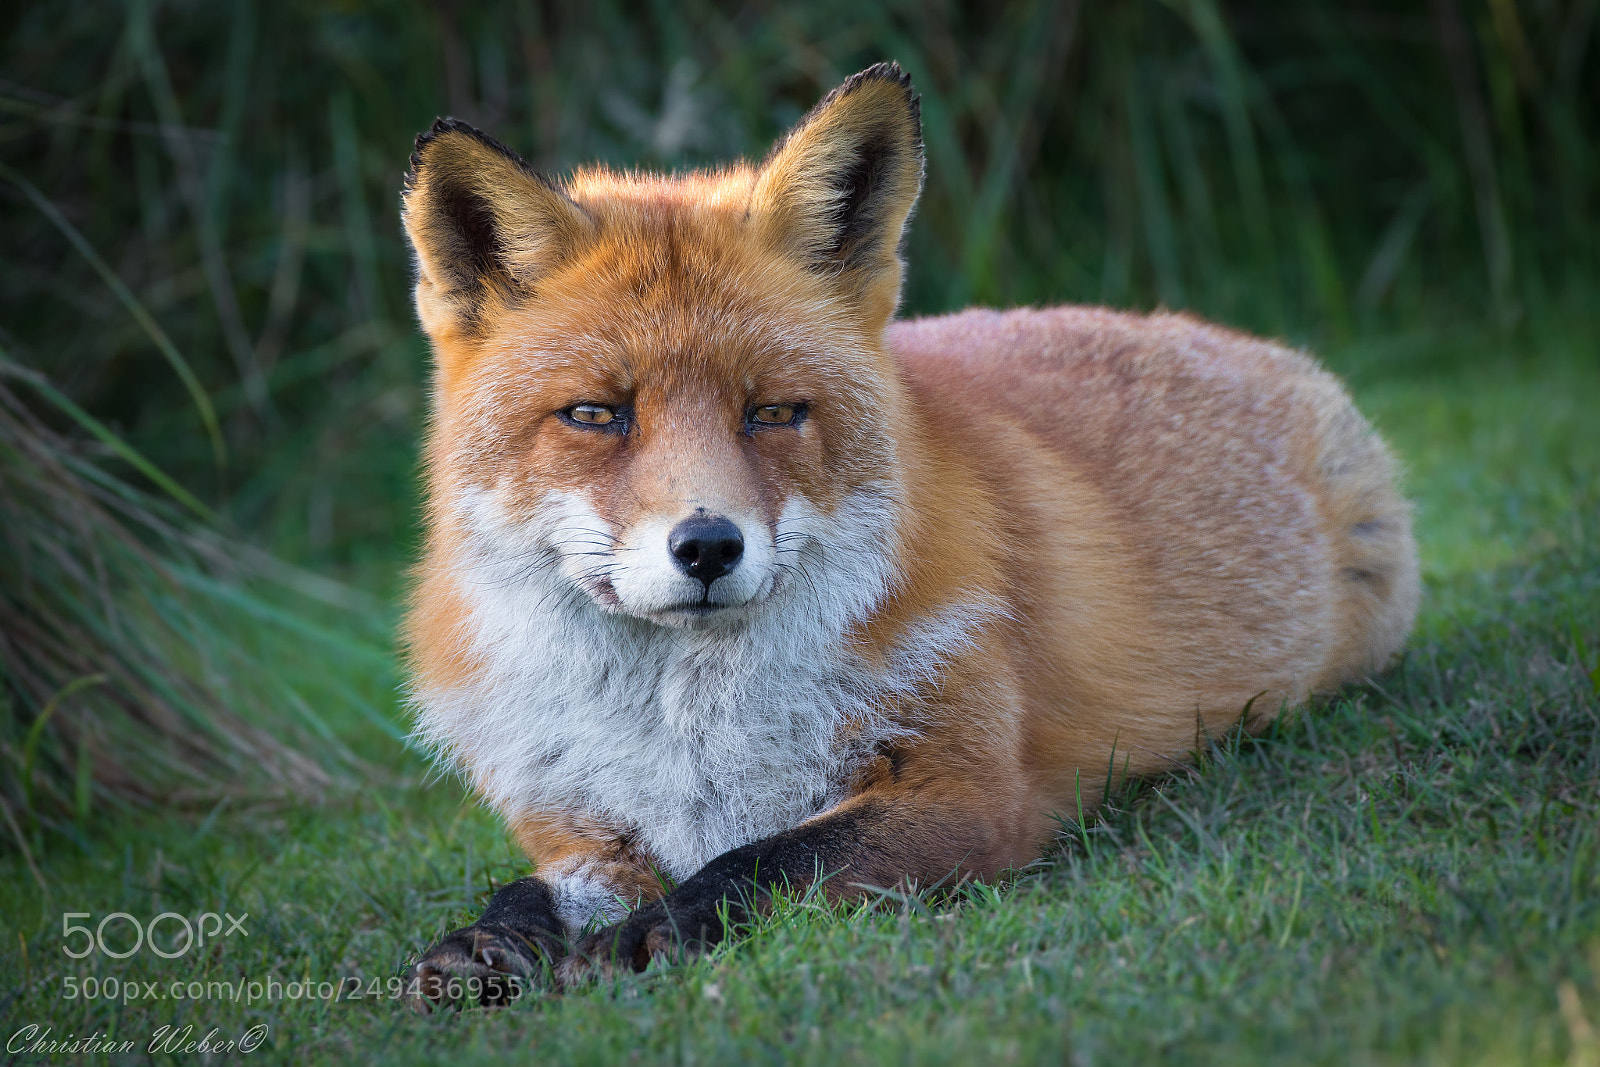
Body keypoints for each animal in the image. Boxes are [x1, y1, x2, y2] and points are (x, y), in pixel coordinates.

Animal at [400, 62, 1418, 1004]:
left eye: (774, 412)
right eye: (595, 415)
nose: (708, 547)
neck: (692, 733)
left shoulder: (971, 793)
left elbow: (762, 860)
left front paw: (662, 927)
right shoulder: (584, 831)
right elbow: (528, 888)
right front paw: (485, 938)